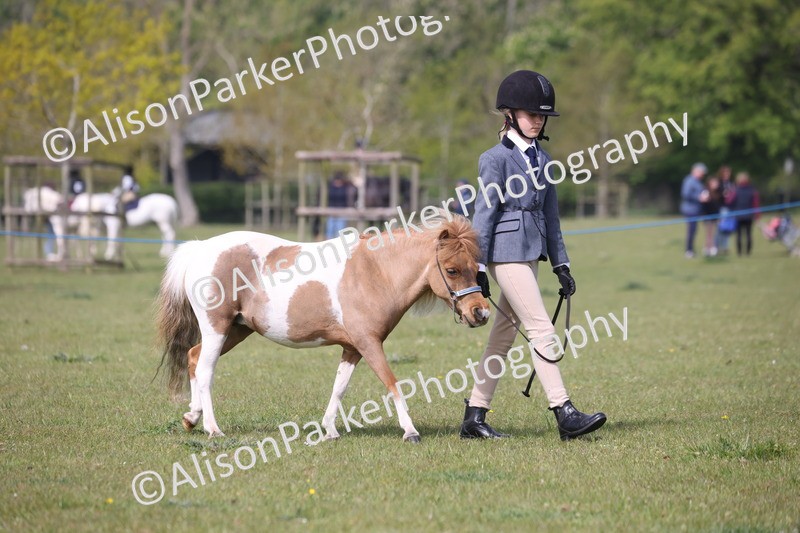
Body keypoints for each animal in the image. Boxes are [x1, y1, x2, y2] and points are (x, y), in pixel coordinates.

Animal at [155, 212, 490, 442]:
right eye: (452, 270)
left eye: (476, 268)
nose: (481, 312)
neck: (374, 272)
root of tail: (200, 250)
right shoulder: (369, 343)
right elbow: (393, 383)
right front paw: (410, 431)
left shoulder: (352, 347)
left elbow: (339, 387)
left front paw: (329, 429)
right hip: (218, 328)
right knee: (206, 370)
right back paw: (212, 428)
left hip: (236, 331)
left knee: (193, 358)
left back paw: (192, 417)